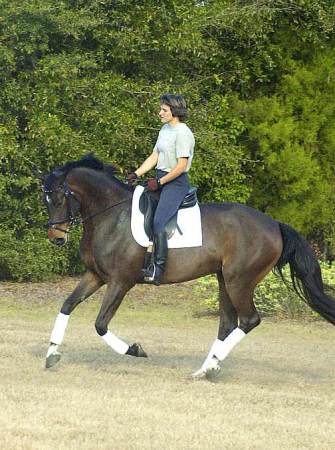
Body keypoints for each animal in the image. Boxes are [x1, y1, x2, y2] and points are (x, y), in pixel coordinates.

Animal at [43, 156, 335, 378]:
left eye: (58, 199)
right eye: (45, 201)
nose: (56, 238)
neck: (111, 216)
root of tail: (274, 224)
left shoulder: (120, 282)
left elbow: (100, 324)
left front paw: (135, 350)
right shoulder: (95, 276)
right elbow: (67, 305)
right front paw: (51, 354)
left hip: (239, 281)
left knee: (249, 320)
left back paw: (210, 368)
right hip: (224, 279)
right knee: (227, 324)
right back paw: (205, 369)